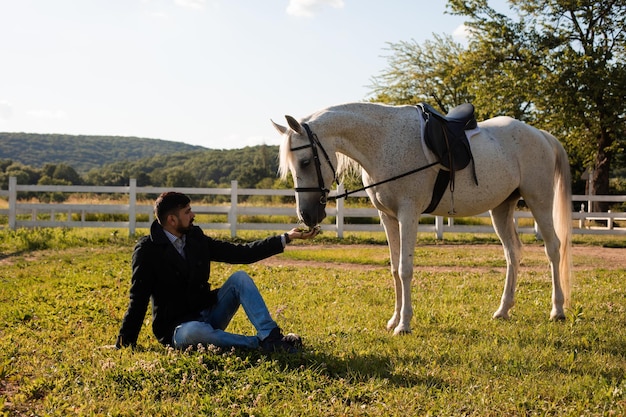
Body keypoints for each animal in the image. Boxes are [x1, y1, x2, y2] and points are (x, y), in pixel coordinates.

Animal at [272, 101, 572, 334]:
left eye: (306, 162)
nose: (307, 215)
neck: (383, 140)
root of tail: (541, 135)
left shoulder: (408, 214)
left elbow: (405, 269)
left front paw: (404, 324)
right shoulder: (388, 218)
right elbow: (394, 269)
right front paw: (393, 320)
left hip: (539, 200)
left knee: (553, 249)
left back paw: (557, 310)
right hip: (501, 208)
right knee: (512, 253)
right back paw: (503, 310)